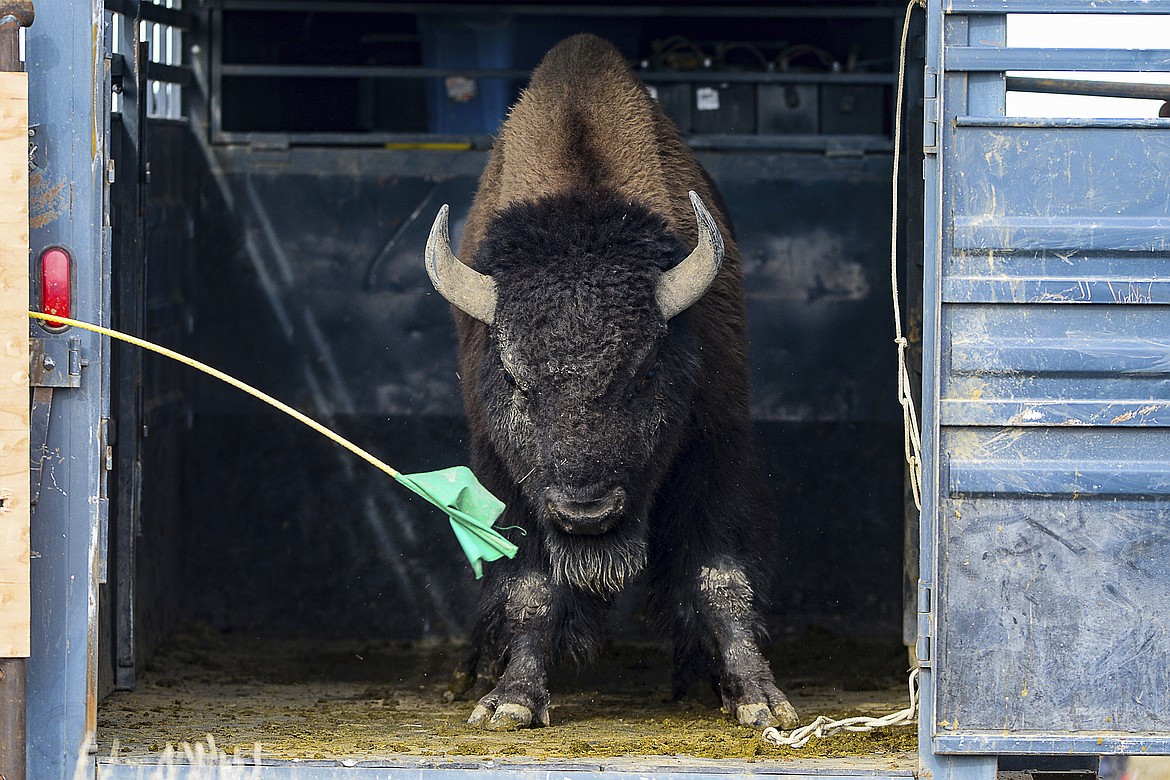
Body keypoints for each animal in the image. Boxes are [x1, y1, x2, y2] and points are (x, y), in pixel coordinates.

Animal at [425, 33, 800, 734]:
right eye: (517, 378)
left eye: (645, 371)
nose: (587, 513)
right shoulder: (504, 477)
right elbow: (530, 588)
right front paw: (510, 702)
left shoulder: (714, 448)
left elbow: (718, 577)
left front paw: (760, 699)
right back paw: (471, 677)